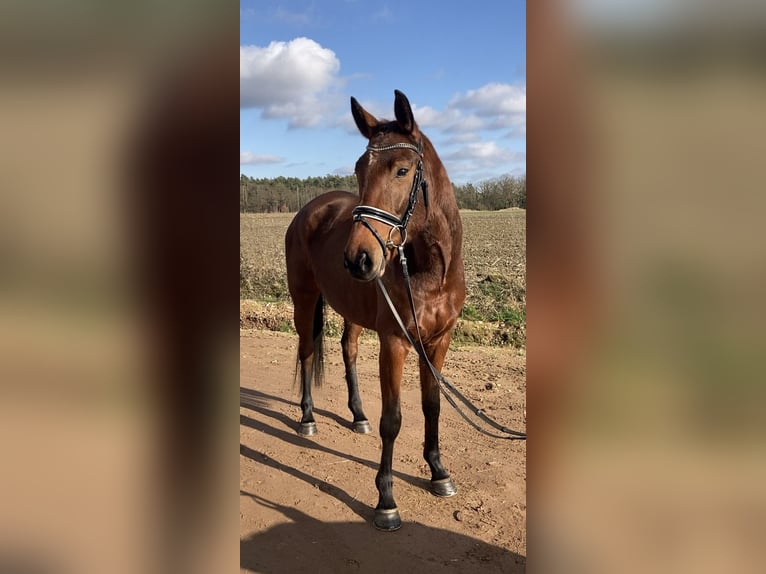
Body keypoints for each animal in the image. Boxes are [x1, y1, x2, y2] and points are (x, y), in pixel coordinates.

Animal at [284, 90, 468, 536]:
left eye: (402, 170)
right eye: (358, 169)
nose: (358, 258)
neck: (430, 272)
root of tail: (308, 211)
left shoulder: (438, 342)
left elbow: (432, 406)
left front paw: (439, 473)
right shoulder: (395, 342)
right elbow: (393, 419)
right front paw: (386, 501)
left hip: (351, 308)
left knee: (347, 349)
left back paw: (357, 415)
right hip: (304, 300)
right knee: (307, 352)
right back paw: (308, 419)